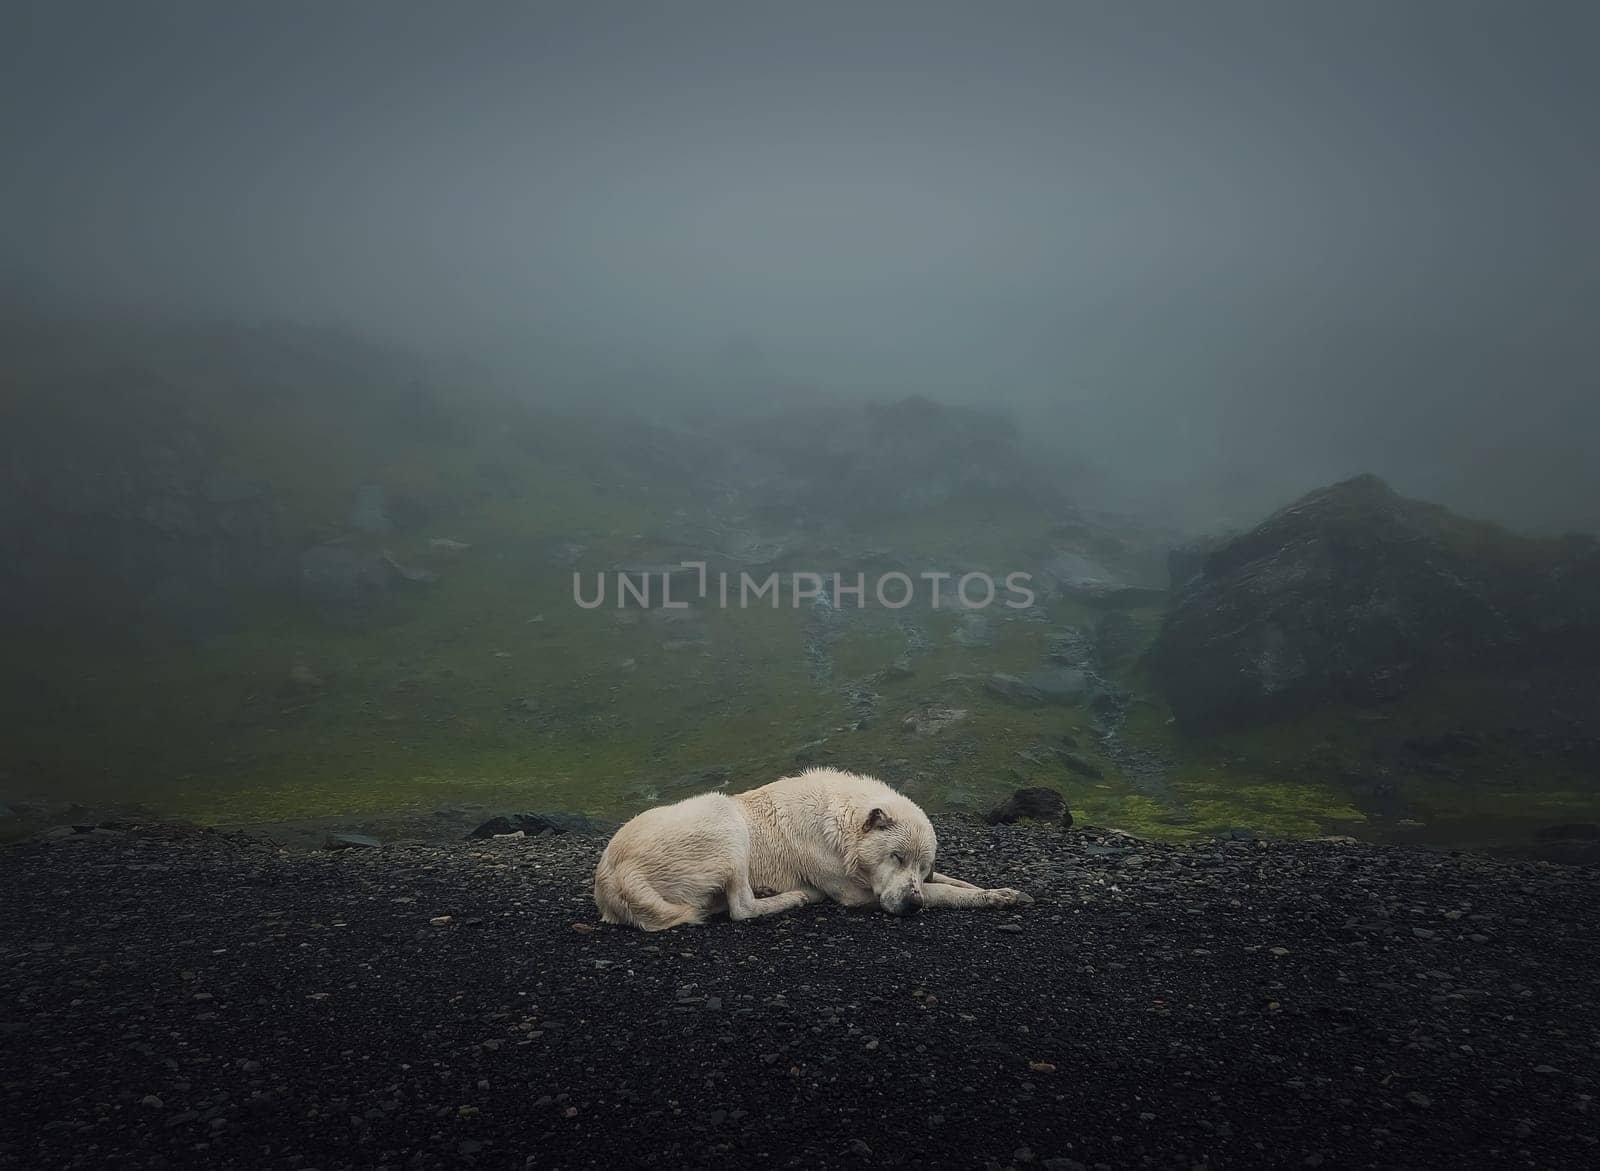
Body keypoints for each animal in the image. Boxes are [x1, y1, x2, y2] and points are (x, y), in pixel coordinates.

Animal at [595, 767, 1030, 934]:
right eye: (896, 857)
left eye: (922, 866)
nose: (912, 904)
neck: (842, 827)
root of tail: (613, 875)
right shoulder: (857, 893)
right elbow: (944, 893)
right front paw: (989, 898)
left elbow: (951, 881)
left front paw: (1001, 891)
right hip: (723, 816)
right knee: (742, 908)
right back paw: (795, 897)